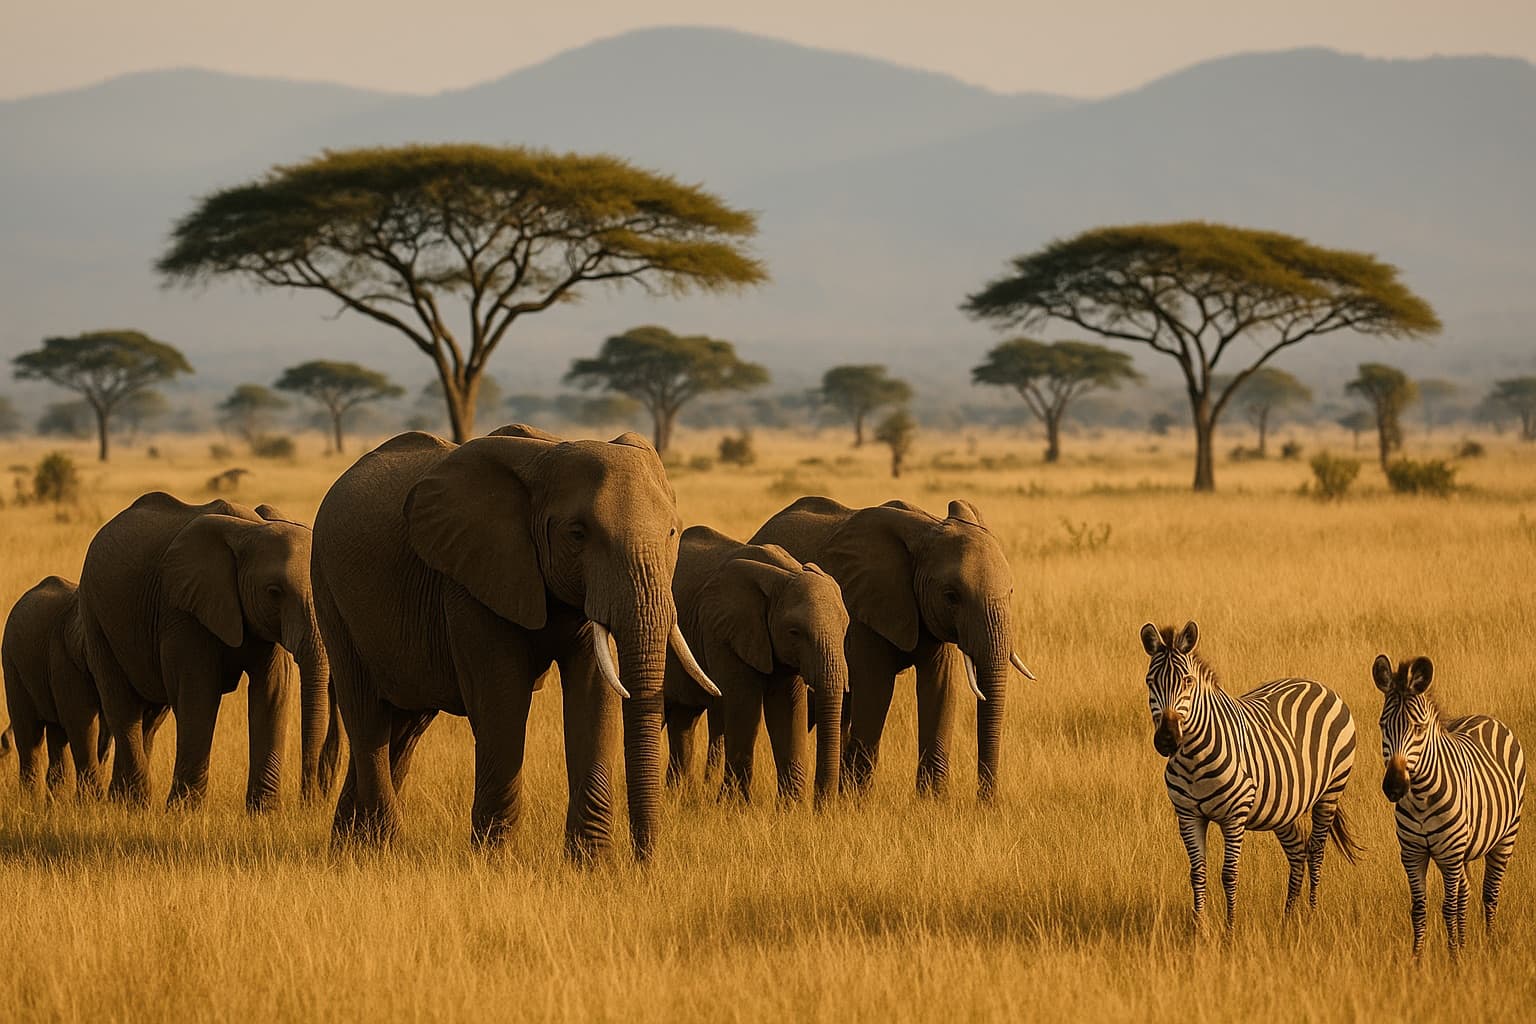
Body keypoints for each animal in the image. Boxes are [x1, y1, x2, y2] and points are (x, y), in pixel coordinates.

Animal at [1140, 621, 1361, 931]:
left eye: (1188, 682)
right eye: (1150, 682)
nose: (1167, 740)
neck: (1193, 759)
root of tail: (1317, 684)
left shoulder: (1235, 815)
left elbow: (1229, 874)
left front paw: (1229, 930)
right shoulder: (1188, 815)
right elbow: (1197, 873)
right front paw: (1199, 929)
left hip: (1331, 791)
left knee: (1316, 850)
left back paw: (1311, 914)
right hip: (1284, 806)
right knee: (1298, 851)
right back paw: (1288, 918)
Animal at [1373, 654, 1526, 959]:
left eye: (1418, 729)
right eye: (1383, 726)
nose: (1394, 787)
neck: (1421, 797)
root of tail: (1486, 717)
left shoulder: (1449, 855)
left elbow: (1448, 907)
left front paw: (1453, 958)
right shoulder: (1412, 854)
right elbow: (1419, 909)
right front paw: (1418, 959)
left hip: (1504, 838)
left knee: (1489, 894)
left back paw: (1489, 943)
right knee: (1466, 894)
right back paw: (1466, 945)